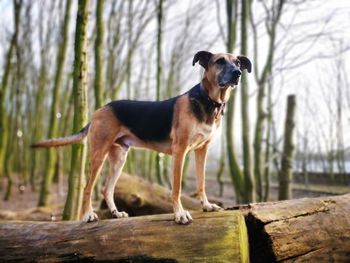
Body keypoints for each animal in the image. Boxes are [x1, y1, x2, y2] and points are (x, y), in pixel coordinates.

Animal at [32, 51, 252, 225]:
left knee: (106, 189)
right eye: (220, 61)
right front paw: (180, 214)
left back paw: (115, 213)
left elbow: (202, 182)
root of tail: (98, 110)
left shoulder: (202, 150)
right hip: (98, 154)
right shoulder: (179, 151)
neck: (209, 101)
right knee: (87, 187)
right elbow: (177, 188)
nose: (237, 73)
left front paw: (206, 206)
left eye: (237, 62)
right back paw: (88, 215)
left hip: (119, 158)